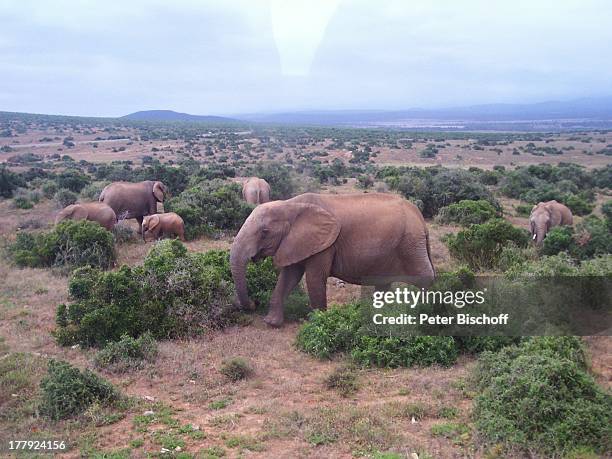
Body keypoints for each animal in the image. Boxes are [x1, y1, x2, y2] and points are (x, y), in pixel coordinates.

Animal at [230, 192, 436, 328]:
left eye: (264, 232)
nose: (254, 303)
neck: (290, 205)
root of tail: (420, 218)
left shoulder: (324, 244)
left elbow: (314, 278)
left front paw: (317, 322)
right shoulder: (294, 242)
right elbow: (289, 277)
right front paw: (272, 323)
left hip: (410, 244)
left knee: (425, 278)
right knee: (383, 285)